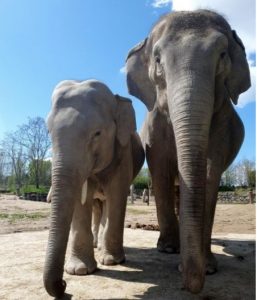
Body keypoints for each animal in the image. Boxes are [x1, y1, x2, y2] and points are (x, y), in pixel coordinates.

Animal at [43, 79, 144, 298]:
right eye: (48, 132)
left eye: (97, 133)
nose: (64, 286)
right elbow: (81, 201)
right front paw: (79, 271)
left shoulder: (122, 151)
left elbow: (117, 196)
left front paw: (112, 261)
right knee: (98, 208)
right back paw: (97, 245)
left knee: (106, 206)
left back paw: (104, 251)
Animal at [126, 9, 250, 296]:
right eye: (158, 60)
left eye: (222, 55)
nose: (188, 285)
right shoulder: (154, 125)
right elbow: (159, 168)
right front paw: (169, 250)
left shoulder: (223, 120)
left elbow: (210, 175)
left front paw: (208, 267)